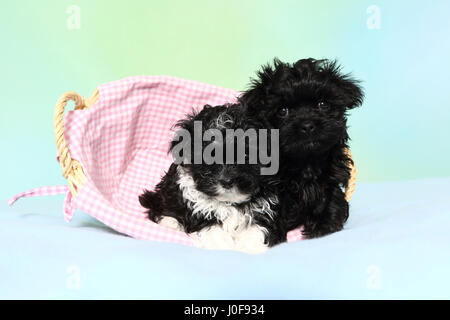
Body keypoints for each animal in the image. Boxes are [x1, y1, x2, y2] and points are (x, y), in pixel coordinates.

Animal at [139, 104, 284, 252]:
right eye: (209, 157)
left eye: (246, 155)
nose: (227, 181)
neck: (230, 202)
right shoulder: (198, 207)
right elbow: (212, 228)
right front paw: (222, 246)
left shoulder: (264, 207)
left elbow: (258, 228)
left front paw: (251, 248)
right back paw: (170, 221)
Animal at [239, 57, 362, 238]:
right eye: (282, 111)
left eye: (323, 104)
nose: (307, 125)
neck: (306, 161)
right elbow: (272, 211)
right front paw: (274, 236)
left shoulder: (331, 179)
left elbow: (331, 200)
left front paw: (323, 227)